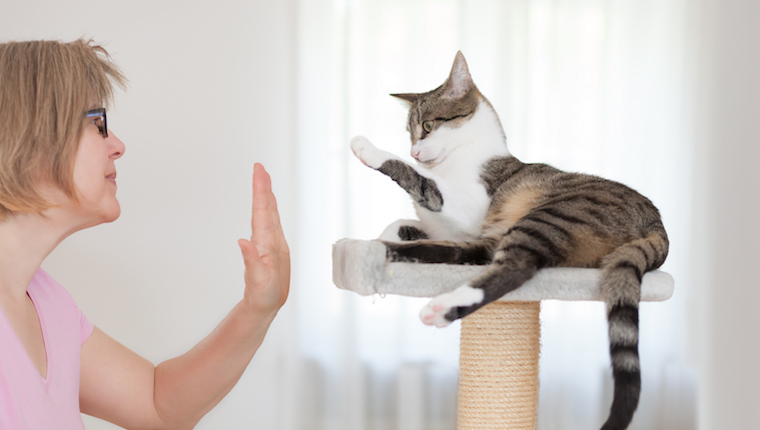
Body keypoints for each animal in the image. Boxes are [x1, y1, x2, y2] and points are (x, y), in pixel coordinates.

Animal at [348, 51, 668, 430]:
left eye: (427, 126)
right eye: (410, 132)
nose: (414, 151)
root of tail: (656, 221)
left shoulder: (463, 207)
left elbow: (421, 181)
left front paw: (368, 148)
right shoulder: (454, 229)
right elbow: (402, 221)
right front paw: (380, 236)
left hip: (550, 215)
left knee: (517, 266)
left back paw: (440, 305)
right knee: (473, 255)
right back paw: (387, 251)